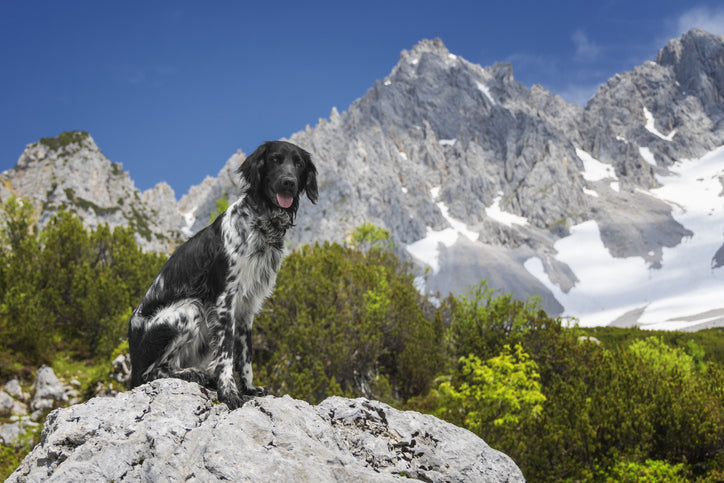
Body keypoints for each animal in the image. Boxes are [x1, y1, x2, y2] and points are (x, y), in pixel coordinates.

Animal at [126, 140, 316, 408]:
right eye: (276, 160)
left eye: (298, 164)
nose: (288, 182)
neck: (262, 225)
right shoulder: (225, 300)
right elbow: (226, 353)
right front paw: (229, 393)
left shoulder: (247, 306)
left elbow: (245, 354)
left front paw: (249, 388)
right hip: (189, 310)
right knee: (150, 373)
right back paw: (191, 374)